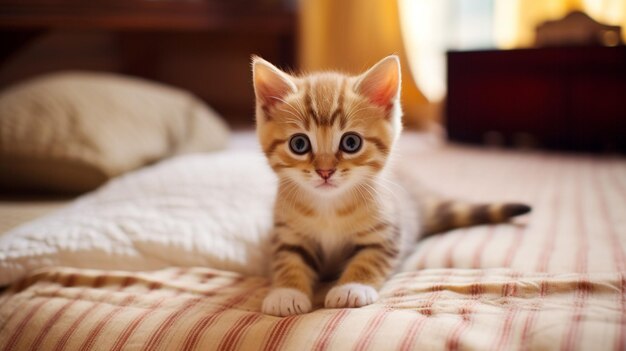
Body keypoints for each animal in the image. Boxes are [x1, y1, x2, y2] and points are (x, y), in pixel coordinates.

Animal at [250, 54, 528, 316]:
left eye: (351, 143)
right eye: (299, 144)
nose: (325, 171)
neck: (329, 206)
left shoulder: (387, 232)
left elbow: (370, 258)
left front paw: (352, 287)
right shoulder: (287, 232)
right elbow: (287, 259)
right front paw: (287, 293)